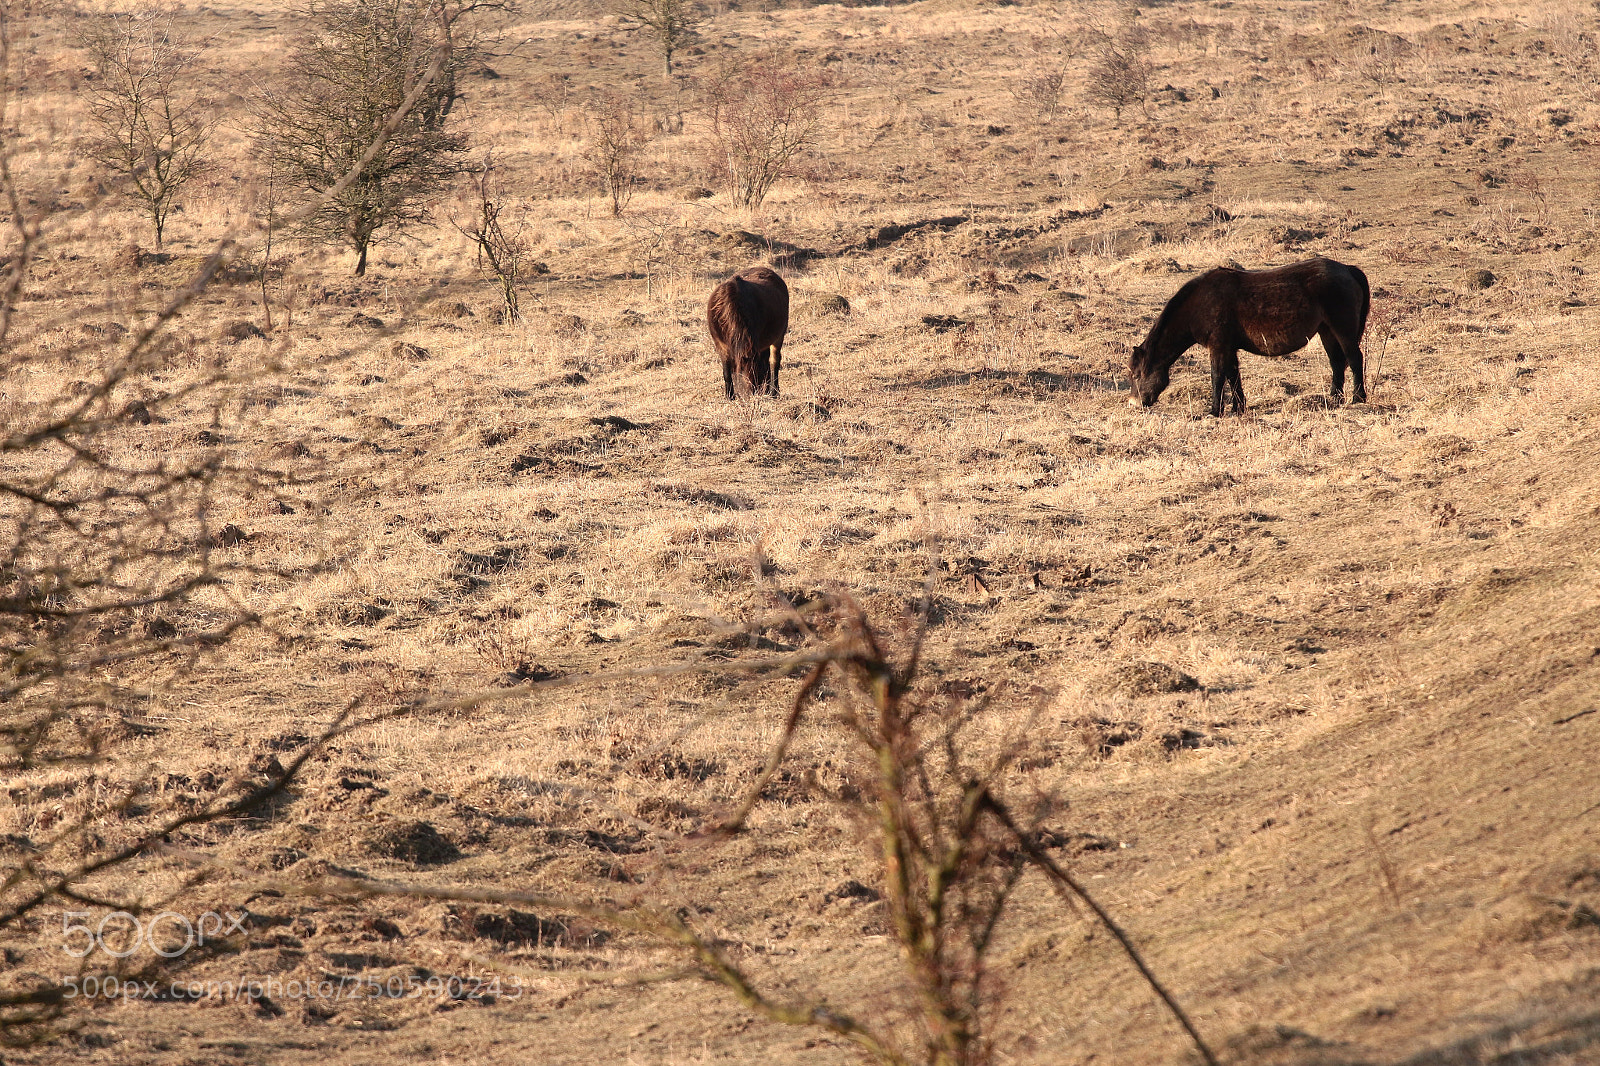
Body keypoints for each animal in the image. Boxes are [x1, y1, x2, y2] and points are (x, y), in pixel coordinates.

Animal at [706, 266, 789, 400]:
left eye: (755, 373)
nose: (753, 393)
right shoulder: (721, 345)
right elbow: (726, 371)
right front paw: (729, 396)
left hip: (778, 337)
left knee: (774, 362)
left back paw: (773, 392)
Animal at [1127, 257, 1371, 417]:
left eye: (1137, 375)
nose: (1133, 404)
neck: (1200, 304)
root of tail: (1348, 270)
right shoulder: (1229, 348)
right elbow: (1233, 377)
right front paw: (1239, 408)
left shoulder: (1218, 346)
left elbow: (1218, 376)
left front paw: (1214, 411)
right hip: (1326, 330)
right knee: (1337, 362)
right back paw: (1334, 398)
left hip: (1342, 329)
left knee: (1354, 358)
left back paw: (1358, 398)